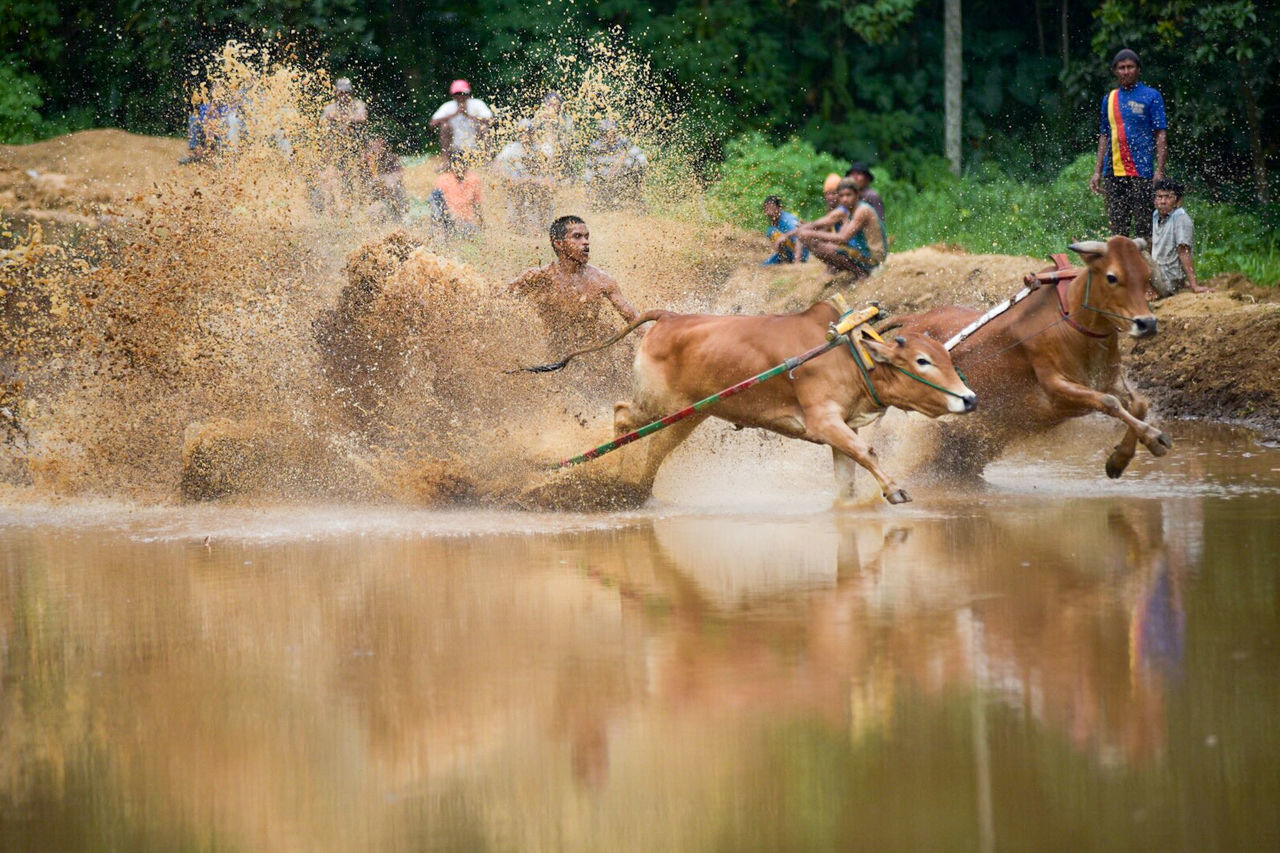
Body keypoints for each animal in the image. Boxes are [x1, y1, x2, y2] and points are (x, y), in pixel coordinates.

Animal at [565, 298, 972, 502]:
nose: (970, 399)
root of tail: (669, 317)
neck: (851, 353)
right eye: (922, 360)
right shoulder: (824, 422)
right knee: (622, 416)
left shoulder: (843, 430)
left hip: (689, 415)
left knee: (655, 449)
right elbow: (868, 453)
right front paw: (895, 489)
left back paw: (636, 487)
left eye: (947, 356)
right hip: (658, 405)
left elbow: (849, 476)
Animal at [890, 235, 1172, 479]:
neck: (1071, 323)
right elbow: (1109, 402)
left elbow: (1138, 404)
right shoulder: (1056, 388)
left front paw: (1120, 459)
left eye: (1146, 276)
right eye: (1112, 277)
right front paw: (1154, 436)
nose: (1147, 324)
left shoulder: (1106, 381)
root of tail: (912, 319)